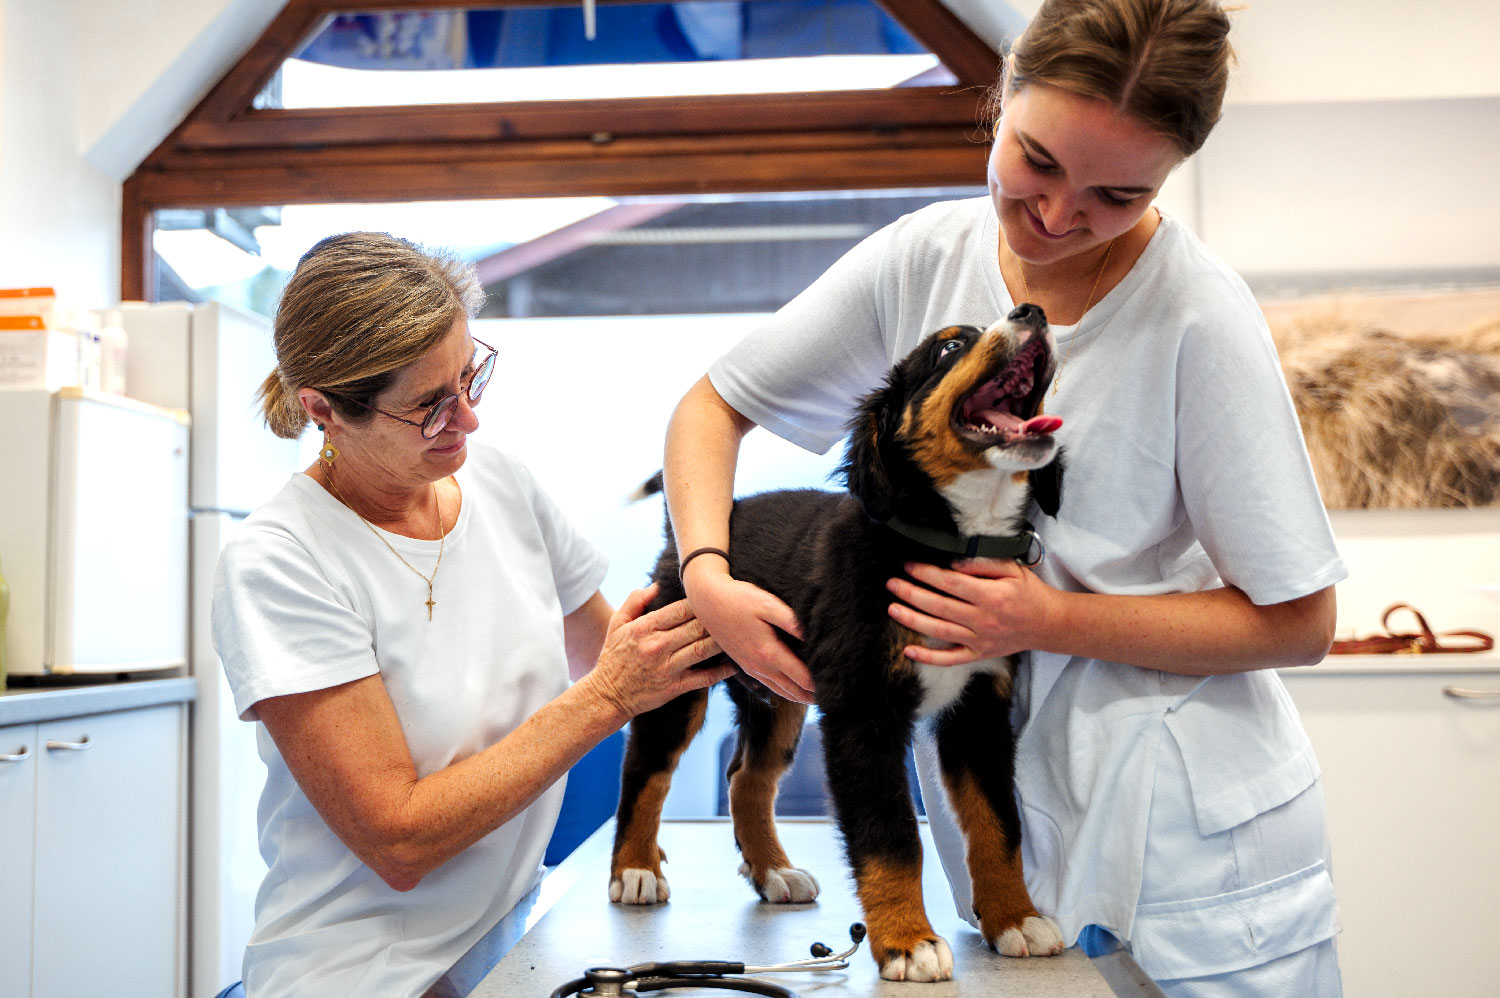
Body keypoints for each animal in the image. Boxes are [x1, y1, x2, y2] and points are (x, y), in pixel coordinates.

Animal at [609, 303, 1068, 978]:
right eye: (950, 346)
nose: (1031, 312)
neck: (946, 538)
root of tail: (696, 531)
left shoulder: (979, 708)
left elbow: (996, 825)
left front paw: (1016, 919)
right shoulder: (863, 710)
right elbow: (890, 835)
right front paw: (908, 941)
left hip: (779, 694)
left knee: (747, 777)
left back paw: (774, 873)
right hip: (677, 672)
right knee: (647, 769)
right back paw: (635, 869)